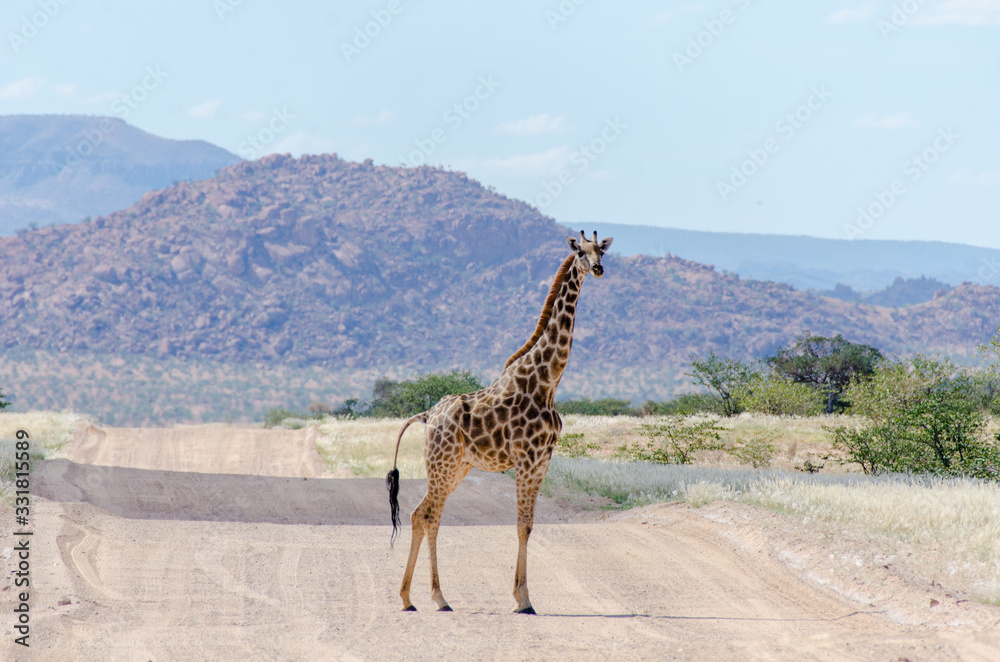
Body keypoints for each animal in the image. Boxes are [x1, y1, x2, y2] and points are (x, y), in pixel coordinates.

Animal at [386, 230, 613, 614]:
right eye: (580, 252)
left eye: (601, 250)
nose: (598, 269)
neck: (547, 382)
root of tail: (428, 415)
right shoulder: (526, 460)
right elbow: (521, 526)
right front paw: (523, 599)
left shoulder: (542, 461)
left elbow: (530, 526)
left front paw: (523, 596)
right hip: (442, 464)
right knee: (429, 516)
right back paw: (436, 597)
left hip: (457, 466)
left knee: (421, 514)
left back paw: (410, 597)